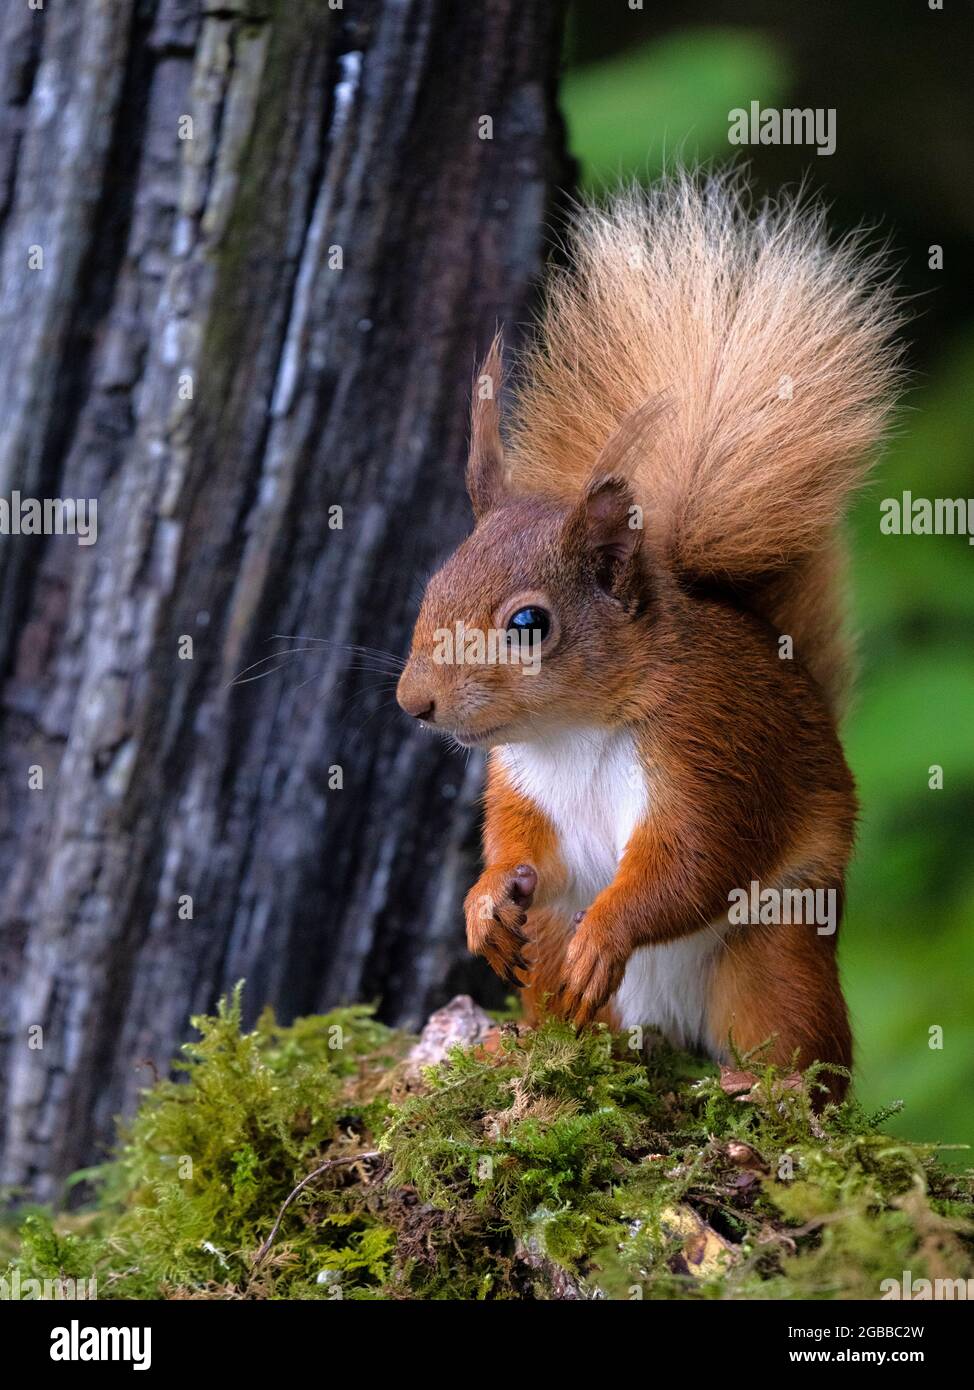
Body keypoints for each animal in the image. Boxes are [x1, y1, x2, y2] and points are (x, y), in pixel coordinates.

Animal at [394, 173, 894, 1095]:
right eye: (432, 588)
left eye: (529, 624)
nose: (416, 703)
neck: (574, 728)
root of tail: (668, 1034)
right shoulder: (520, 786)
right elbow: (520, 849)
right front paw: (484, 903)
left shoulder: (711, 749)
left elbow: (691, 864)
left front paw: (610, 934)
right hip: (552, 952)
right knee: (568, 1001)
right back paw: (526, 1042)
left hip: (772, 957)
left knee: (808, 1047)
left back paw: (771, 1089)